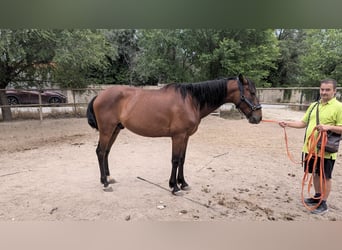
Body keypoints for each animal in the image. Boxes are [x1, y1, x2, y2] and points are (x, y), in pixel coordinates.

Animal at [87, 73, 262, 193]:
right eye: (252, 93)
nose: (258, 118)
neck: (191, 100)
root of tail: (99, 95)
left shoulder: (185, 137)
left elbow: (183, 159)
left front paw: (183, 183)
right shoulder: (177, 136)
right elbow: (175, 160)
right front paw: (174, 187)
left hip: (115, 129)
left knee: (106, 152)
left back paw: (109, 177)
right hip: (106, 130)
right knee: (100, 152)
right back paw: (104, 183)